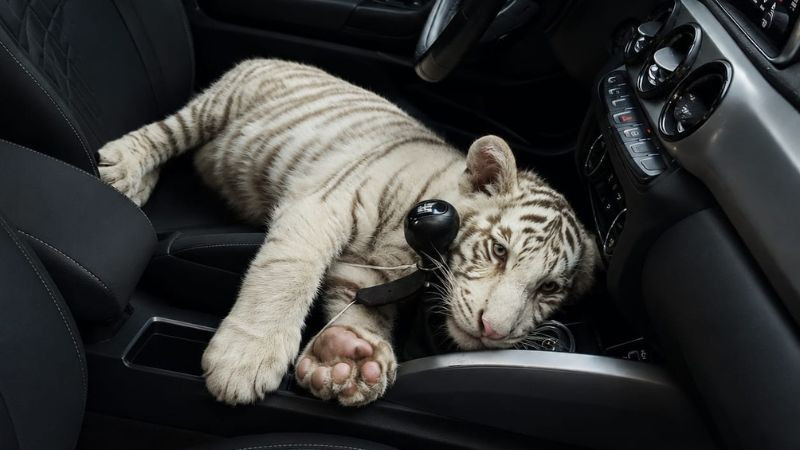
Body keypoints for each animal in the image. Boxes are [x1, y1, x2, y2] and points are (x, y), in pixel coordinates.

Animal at [97, 58, 599, 407]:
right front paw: (244, 359)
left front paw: (349, 359)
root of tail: (278, 58)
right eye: (498, 250)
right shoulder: (320, 207)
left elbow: (361, 312)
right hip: (217, 106)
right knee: (166, 132)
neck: (413, 253)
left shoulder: (367, 272)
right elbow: (286, 276)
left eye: (548, 288)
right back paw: (122, 169)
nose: (492, 331)